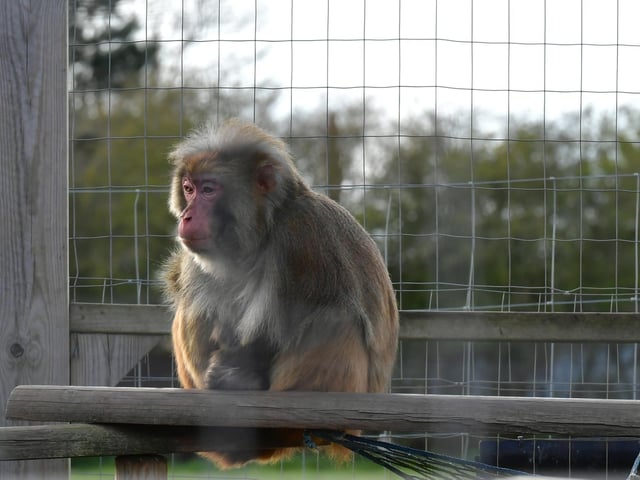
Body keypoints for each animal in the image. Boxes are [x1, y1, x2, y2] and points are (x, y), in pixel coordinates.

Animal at [162, 119, 399, 468]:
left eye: (208, 190)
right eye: (188, 188)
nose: (186, 216)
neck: (265, 229)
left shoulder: (300, 237)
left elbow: (283, 325)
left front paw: (238, 374)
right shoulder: (198, 257)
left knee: (337, 317)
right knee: (194, 303)